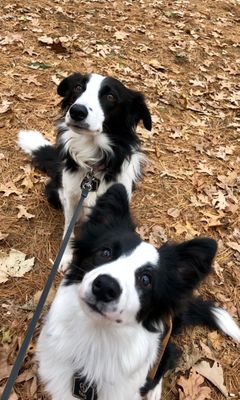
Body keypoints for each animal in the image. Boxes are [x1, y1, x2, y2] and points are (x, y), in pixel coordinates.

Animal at [17, 72, 151, 272]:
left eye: (110, 96)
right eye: (78, 88)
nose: (77, 111)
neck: (93, 162)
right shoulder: (71, 196)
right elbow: (69, 229)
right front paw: (65, 257)